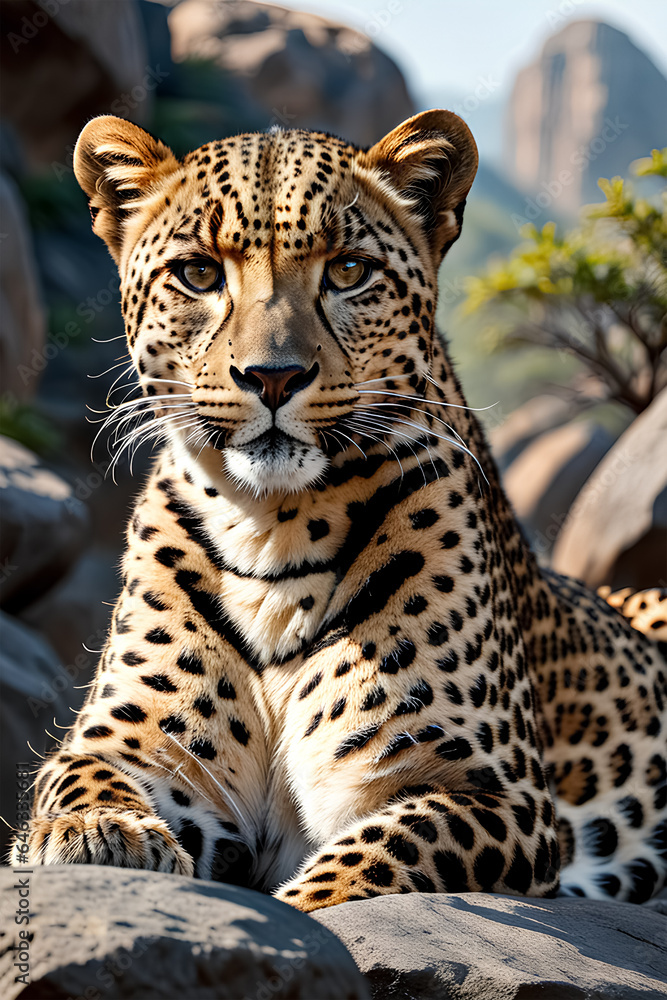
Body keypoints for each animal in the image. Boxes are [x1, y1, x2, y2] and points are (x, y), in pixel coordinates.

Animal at [13, 110, 666, 911]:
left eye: (349, 272)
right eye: (199, 273)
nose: (272, 377)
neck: (273, 527)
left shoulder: (492, 792)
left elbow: (366, 863)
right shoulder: (136, 742)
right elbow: (78, 775)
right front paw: (99, 835)